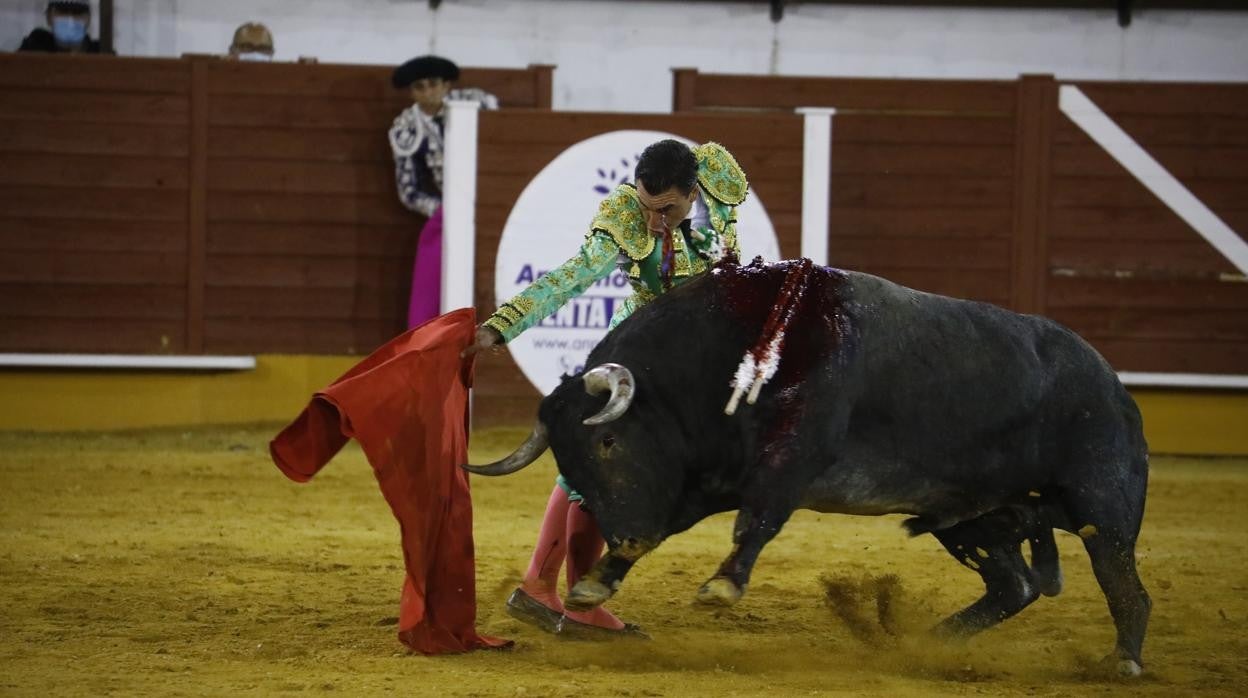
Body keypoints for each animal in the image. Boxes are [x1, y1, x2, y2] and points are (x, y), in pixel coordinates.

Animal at [466, 258, 1148, 679]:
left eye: (608, 443)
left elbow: (758, 520)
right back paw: (926, 645)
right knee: (1014, 586)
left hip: (1102, 502)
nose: (625, 535)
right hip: (971, 519)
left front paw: (721, 586)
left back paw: (1126, 662)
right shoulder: (705, 478)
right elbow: (680, 525)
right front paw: (597, 582)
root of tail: (1114, 384)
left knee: (1122, 582)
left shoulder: (791, 461)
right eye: (569, 462)